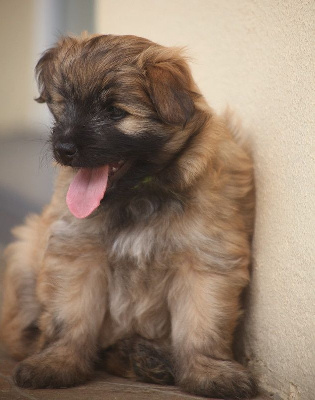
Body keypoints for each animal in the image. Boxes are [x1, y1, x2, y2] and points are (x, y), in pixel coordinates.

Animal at [0, 34, 256, 400]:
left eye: (115, 112)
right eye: (64, 104)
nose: (63, 149)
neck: (138, 194)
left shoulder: (206, 259)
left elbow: (203, 320)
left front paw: (210, 371)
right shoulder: (78, 253)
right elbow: (70, 314)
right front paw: (57, 362)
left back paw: (145, 358)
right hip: (26, 254)